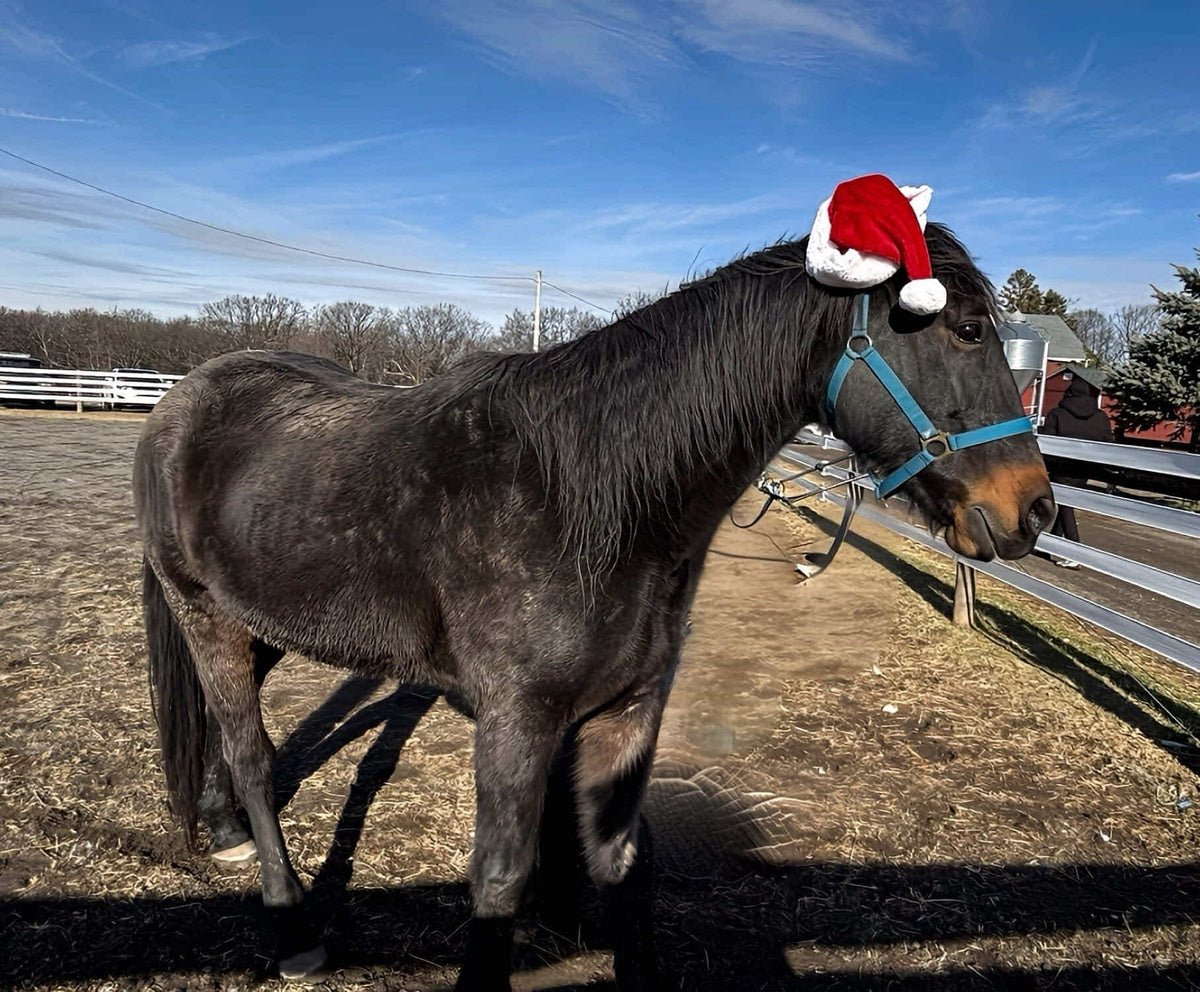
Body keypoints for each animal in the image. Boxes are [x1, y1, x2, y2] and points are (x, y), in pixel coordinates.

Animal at [135, 223, 1055, 991]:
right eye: (964, 330)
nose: (1034, 511)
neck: (593, 498)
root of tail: (183, 399)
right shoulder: (517, 718)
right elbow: (498, 878)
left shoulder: (628, 711)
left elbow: (616, 863)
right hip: (205, 615)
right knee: (252, 754)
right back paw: (290, 927)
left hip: (263, 621)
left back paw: (222, 828)